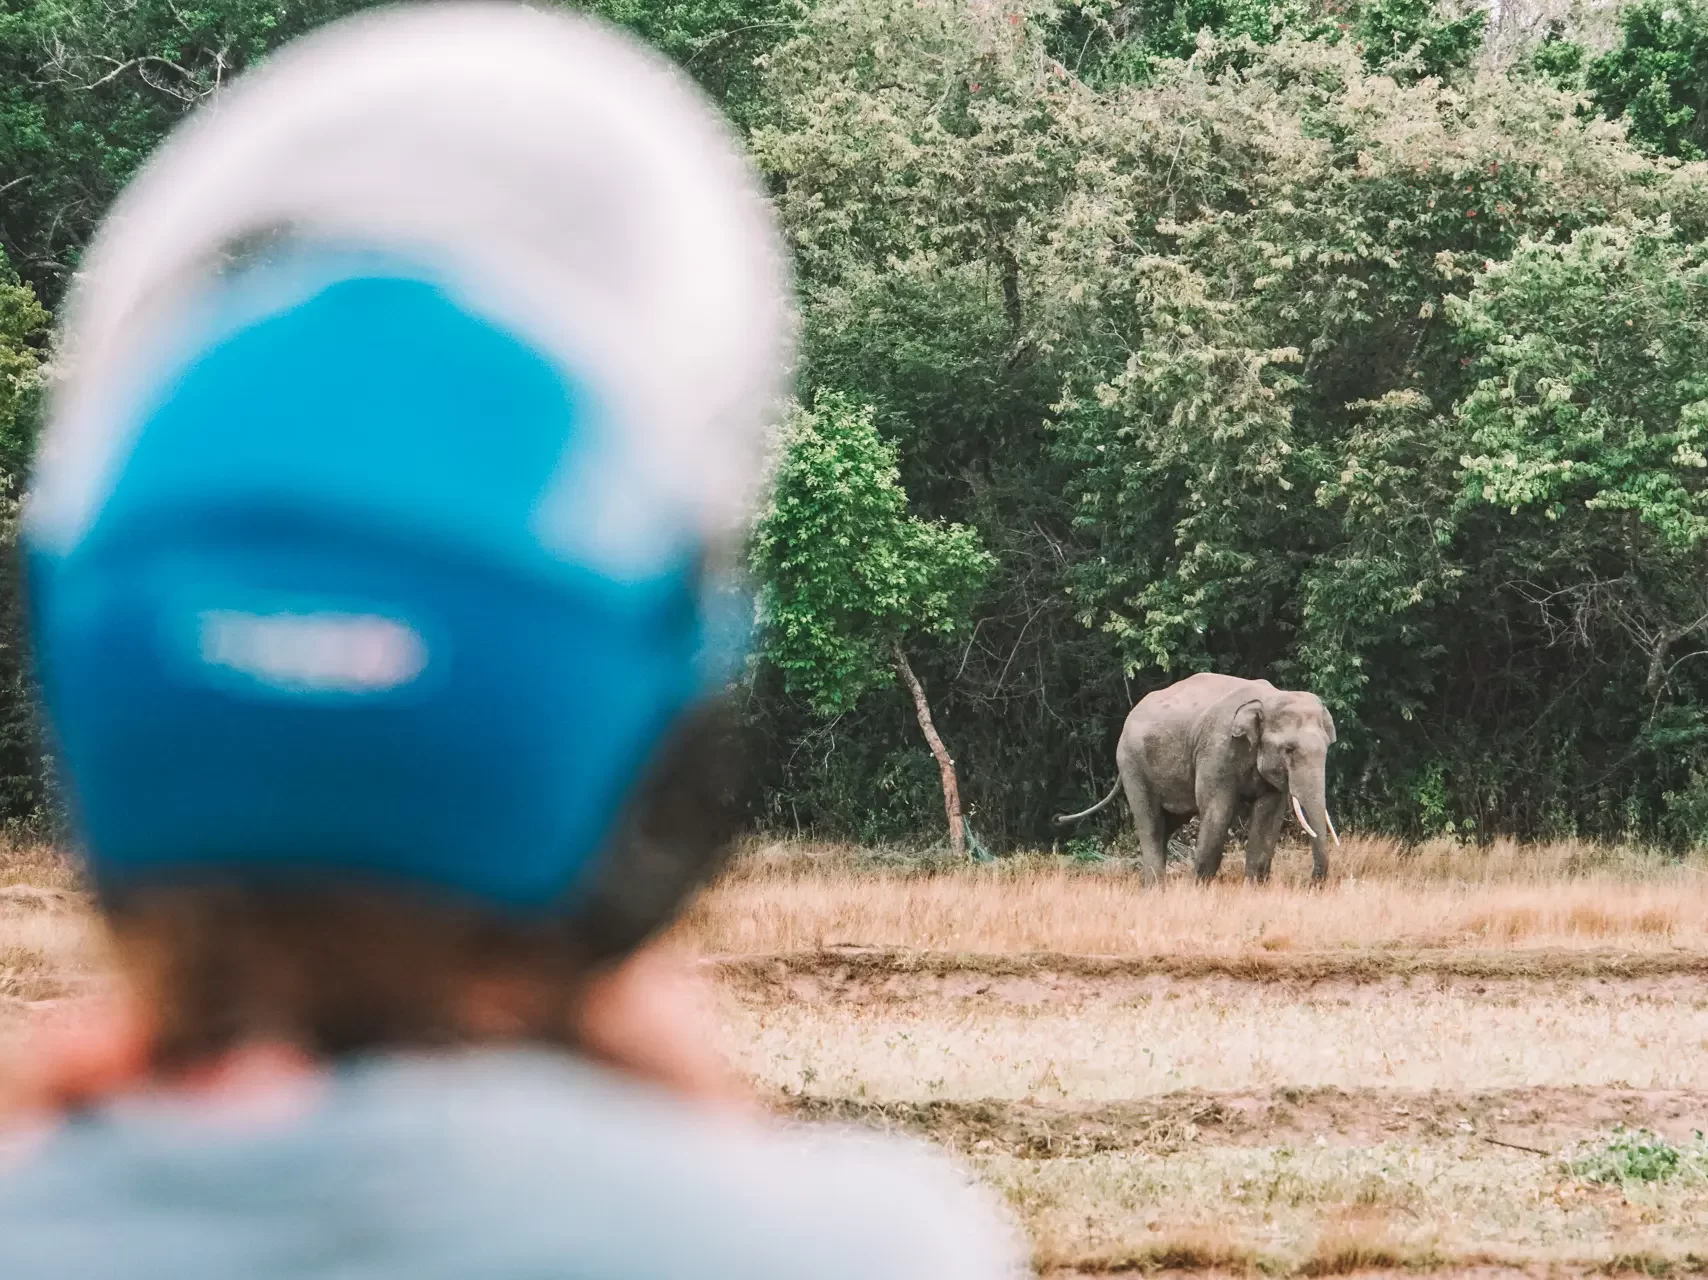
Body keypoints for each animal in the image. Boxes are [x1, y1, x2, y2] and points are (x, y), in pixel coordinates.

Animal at [1054, 673, 1340, 885]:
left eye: (1328, 747)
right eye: (1289, 750)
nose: (1312, 882)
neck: (1270, 698)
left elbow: (1269, 815)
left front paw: (1254, 888)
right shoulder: (1216, 749)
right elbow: (1217, 810)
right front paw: (1199, 889)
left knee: (1168, 824)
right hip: (1131, 763)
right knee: (1150, 821)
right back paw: (1156, 889)